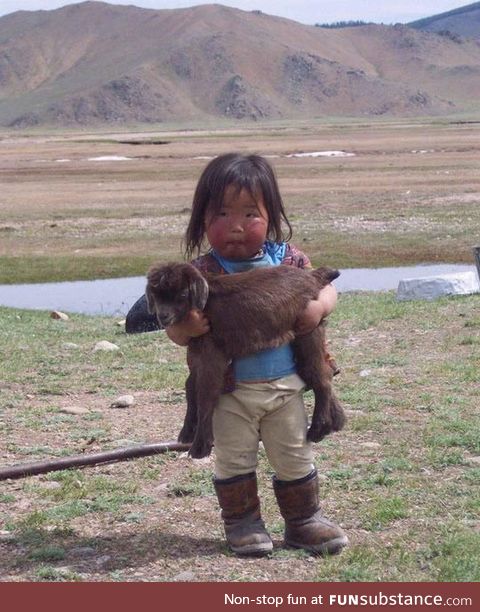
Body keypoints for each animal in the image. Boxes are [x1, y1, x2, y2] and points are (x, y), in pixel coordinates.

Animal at [146, 262, 344, 460]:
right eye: (155, 295)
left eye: (182, 295)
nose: (163, 316)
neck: (205, 305)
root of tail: (313, 276)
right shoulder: (196, 350)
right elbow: (190, 386)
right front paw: (187, 432)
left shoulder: (211, 352)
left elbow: (205, 393)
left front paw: (200, 447)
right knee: (320, 369)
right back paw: (336, 419)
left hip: (309, 326)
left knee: (321, 375)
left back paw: (318, 428)